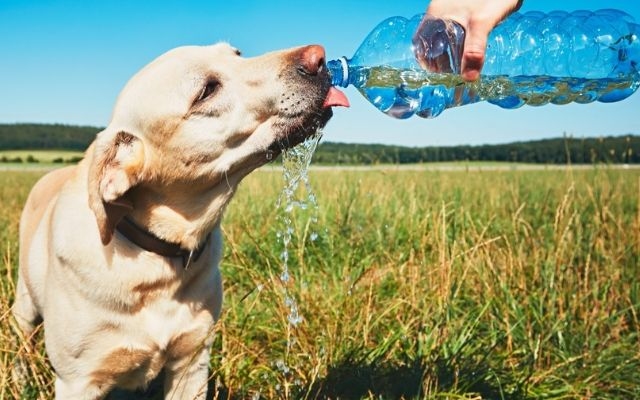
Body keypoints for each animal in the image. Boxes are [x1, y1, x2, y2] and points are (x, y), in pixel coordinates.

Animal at [10, 42, 348, 398]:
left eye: (237, 54)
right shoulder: (78, 381)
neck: (156, 260)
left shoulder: (192, 362)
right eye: (207, 90)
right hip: (24, 306)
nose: (319, 57)